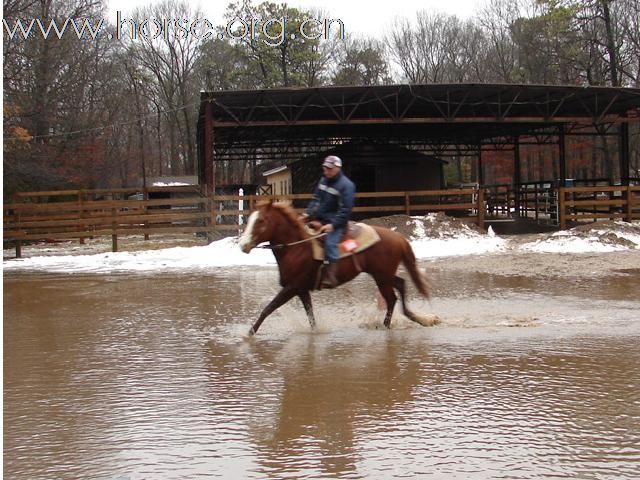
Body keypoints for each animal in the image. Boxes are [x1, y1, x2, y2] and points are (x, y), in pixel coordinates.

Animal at [238, 201, 438, 336]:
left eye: (261, 221)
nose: (243, 245)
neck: (297, 248)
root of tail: (398, 237)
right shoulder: (302, 290)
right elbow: (310, 315)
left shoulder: (291, 288)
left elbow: (268, 308)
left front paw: (249, 334)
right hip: (383, 275)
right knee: (401, 285)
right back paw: (418, 318)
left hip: (382, 277)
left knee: (391, 299)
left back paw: (385, 325)